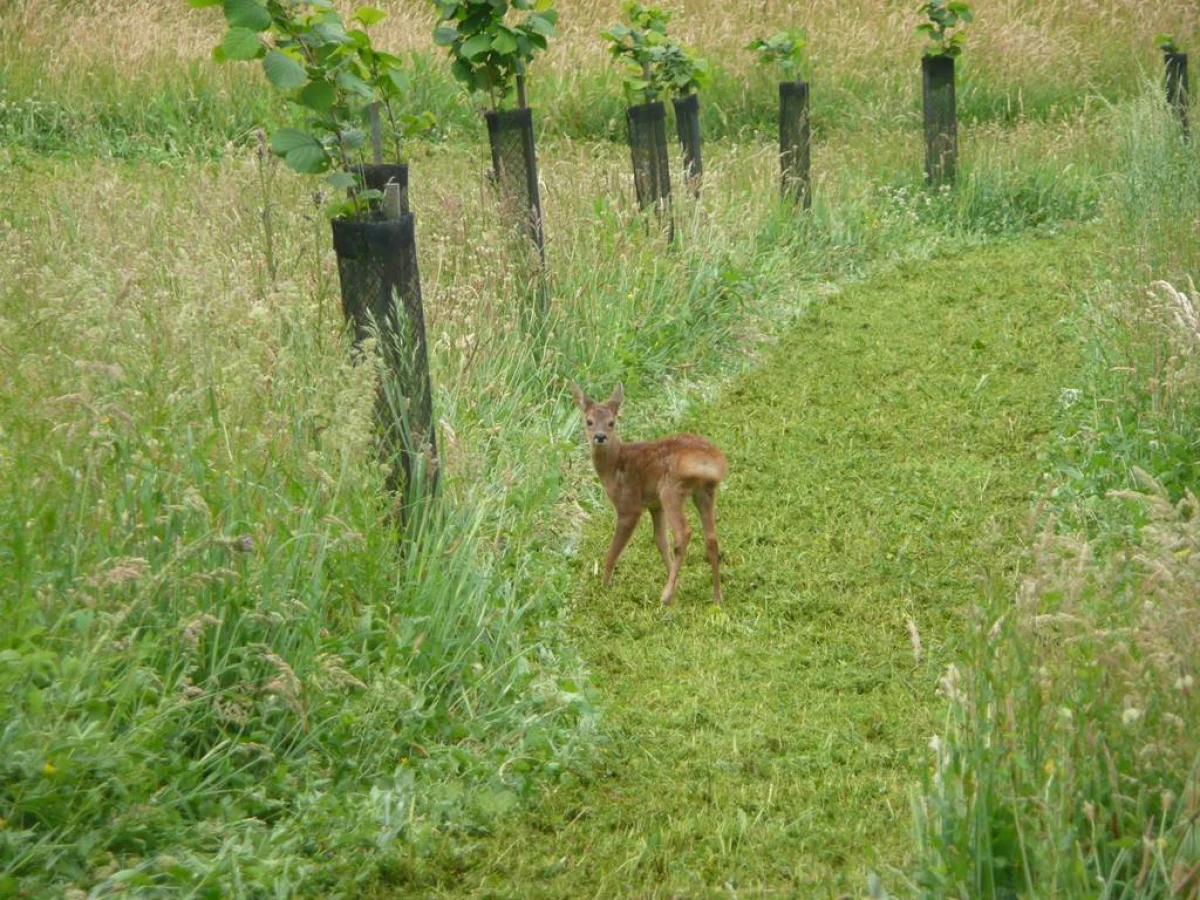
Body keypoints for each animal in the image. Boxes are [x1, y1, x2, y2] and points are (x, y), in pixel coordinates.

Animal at [573, 381, 729, 607]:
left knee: (684, 532)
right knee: (711, 537)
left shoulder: (629, 504)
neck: (615, 465)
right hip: (705, 491)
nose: (599, 437)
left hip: (671, 489)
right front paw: (675, 580)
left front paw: (604, 586)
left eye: (612, 422)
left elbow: (613, 551)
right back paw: (716, 596)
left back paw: (666, 596)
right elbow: (660, 540)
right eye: (589, 421)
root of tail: (707, 461)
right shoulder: (655, 505)